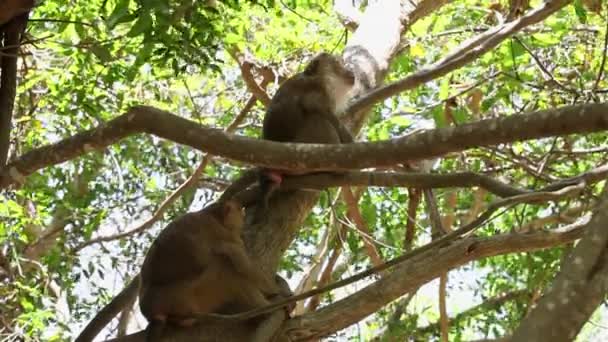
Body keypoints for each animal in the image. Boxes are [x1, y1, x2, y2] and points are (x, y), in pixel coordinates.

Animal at [140, 199, 284, 340]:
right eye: (238, 209)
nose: (243, 212)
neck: (211, 214)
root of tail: (153, 313)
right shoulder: (224, 234)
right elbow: (244, 265)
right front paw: (276, 290)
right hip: (193, 297)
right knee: (226, 268)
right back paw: (265, 310)